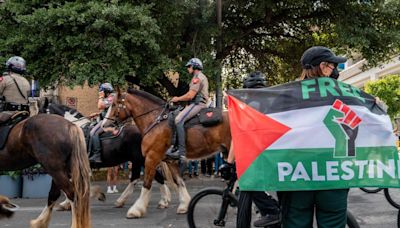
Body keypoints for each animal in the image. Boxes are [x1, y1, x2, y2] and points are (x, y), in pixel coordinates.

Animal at [103, 88, 231, 218]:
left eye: (114, 104)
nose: (104, 125)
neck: (156, 121)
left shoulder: (151, 157)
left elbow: (147, 183)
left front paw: (136, 209)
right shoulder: (169, 161)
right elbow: (179, 181)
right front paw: (184, 205)